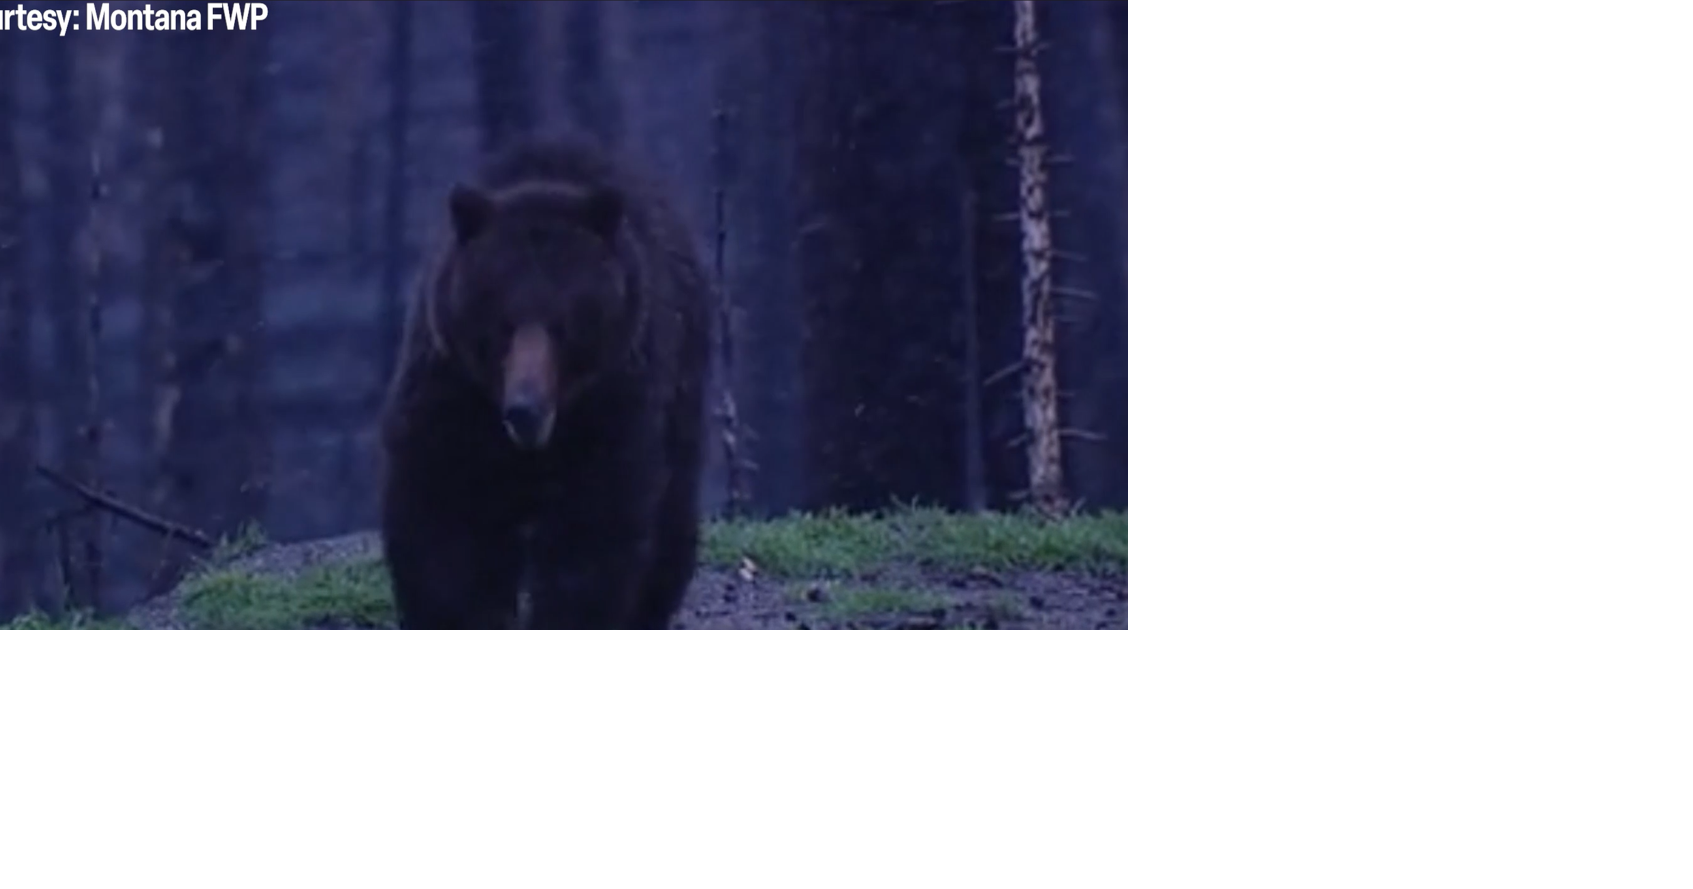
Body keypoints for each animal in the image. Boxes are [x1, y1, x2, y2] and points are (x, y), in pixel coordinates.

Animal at [377, 136, 713, 630]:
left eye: (564, 326)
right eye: (502, 323)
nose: (525, 409)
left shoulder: (613, 404)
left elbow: (594, 532)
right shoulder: (452, 393)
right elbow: (443, 518)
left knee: (670, 525)